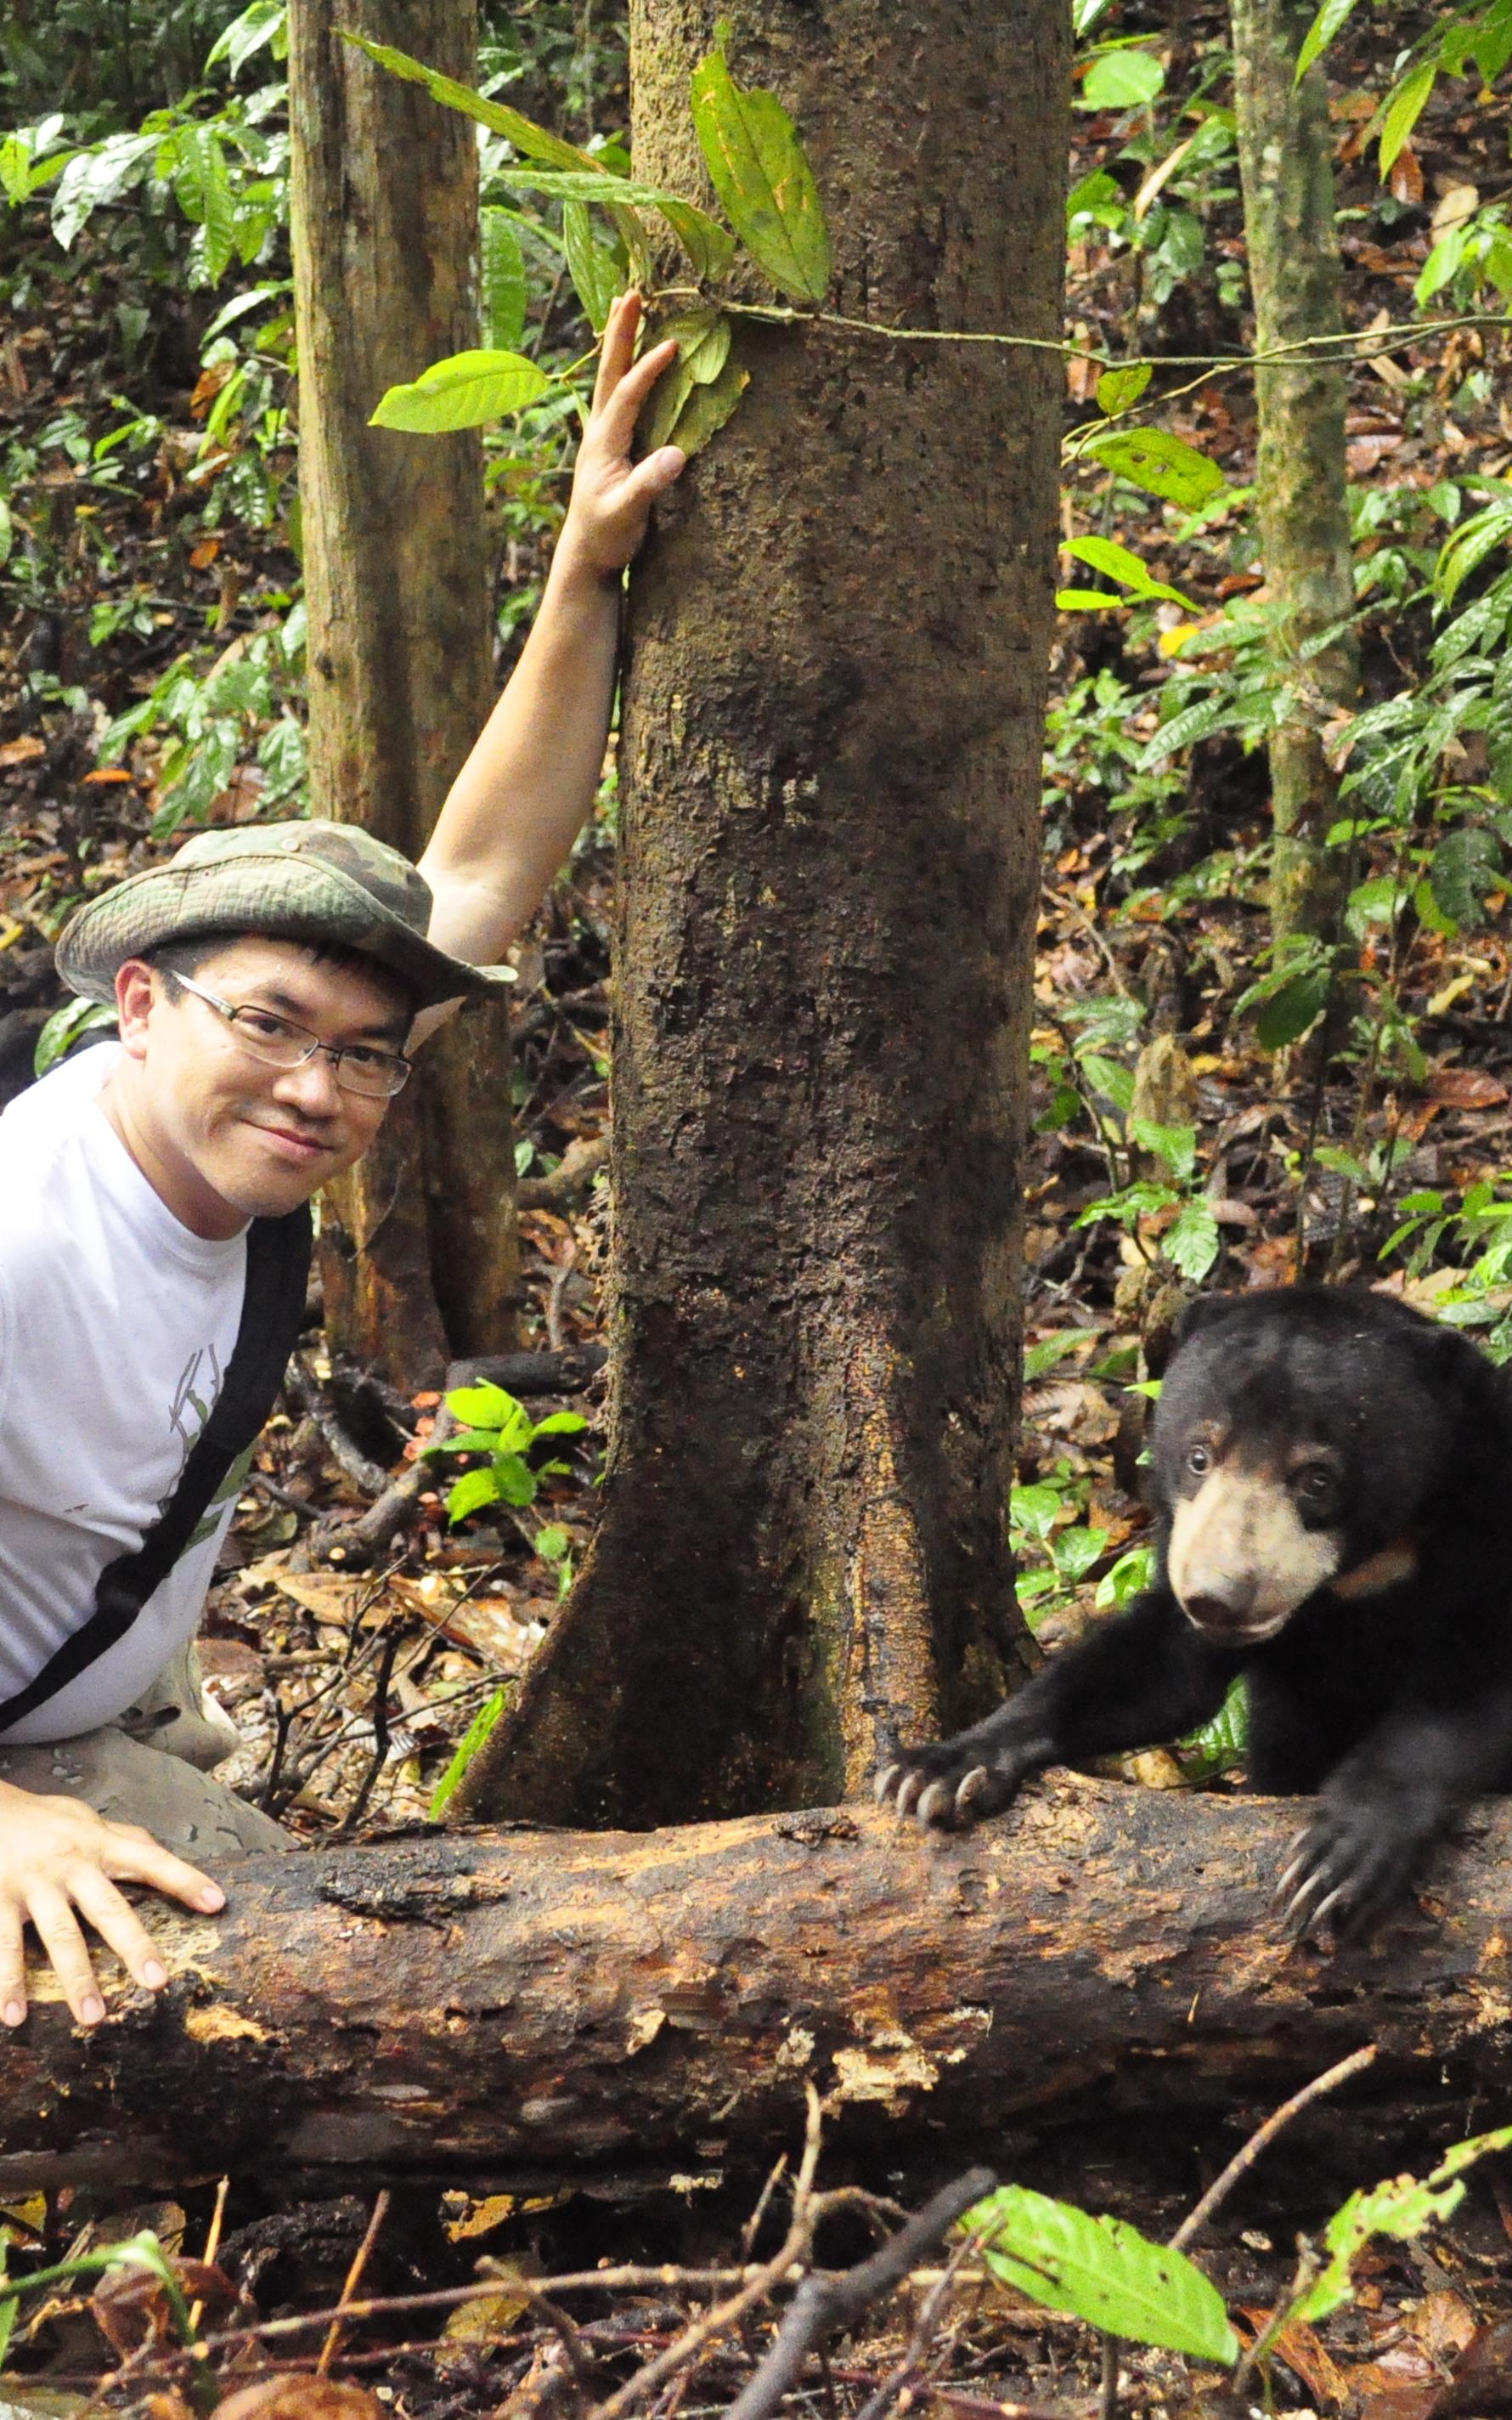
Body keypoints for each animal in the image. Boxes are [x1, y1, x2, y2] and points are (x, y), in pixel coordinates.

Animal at [871, 1287, 1509, 1945]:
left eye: (1318, 1478)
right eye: (1199, 1456)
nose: (1217, 1597)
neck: (1367, 1570)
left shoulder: (1489, 1524)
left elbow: (1468, 1693)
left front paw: (1338, 1859)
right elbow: (1159, 1668)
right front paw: (935, 1772)